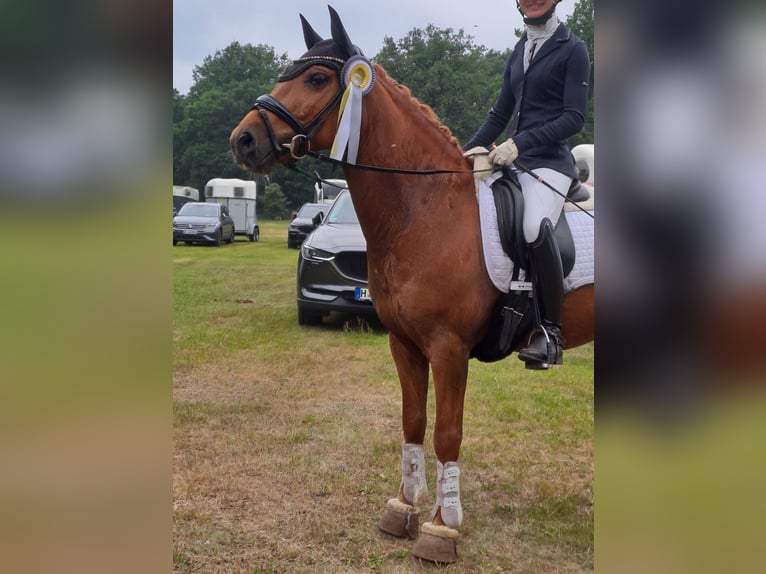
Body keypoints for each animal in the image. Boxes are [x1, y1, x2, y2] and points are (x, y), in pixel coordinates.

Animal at [230, 6, 594, 564]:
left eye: (315, 79)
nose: (243, 140)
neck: (421, 210)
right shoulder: (404, 344)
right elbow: (412, 422)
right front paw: (403, 507)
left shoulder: (448, 348)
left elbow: (447, 433)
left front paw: (442, 528)